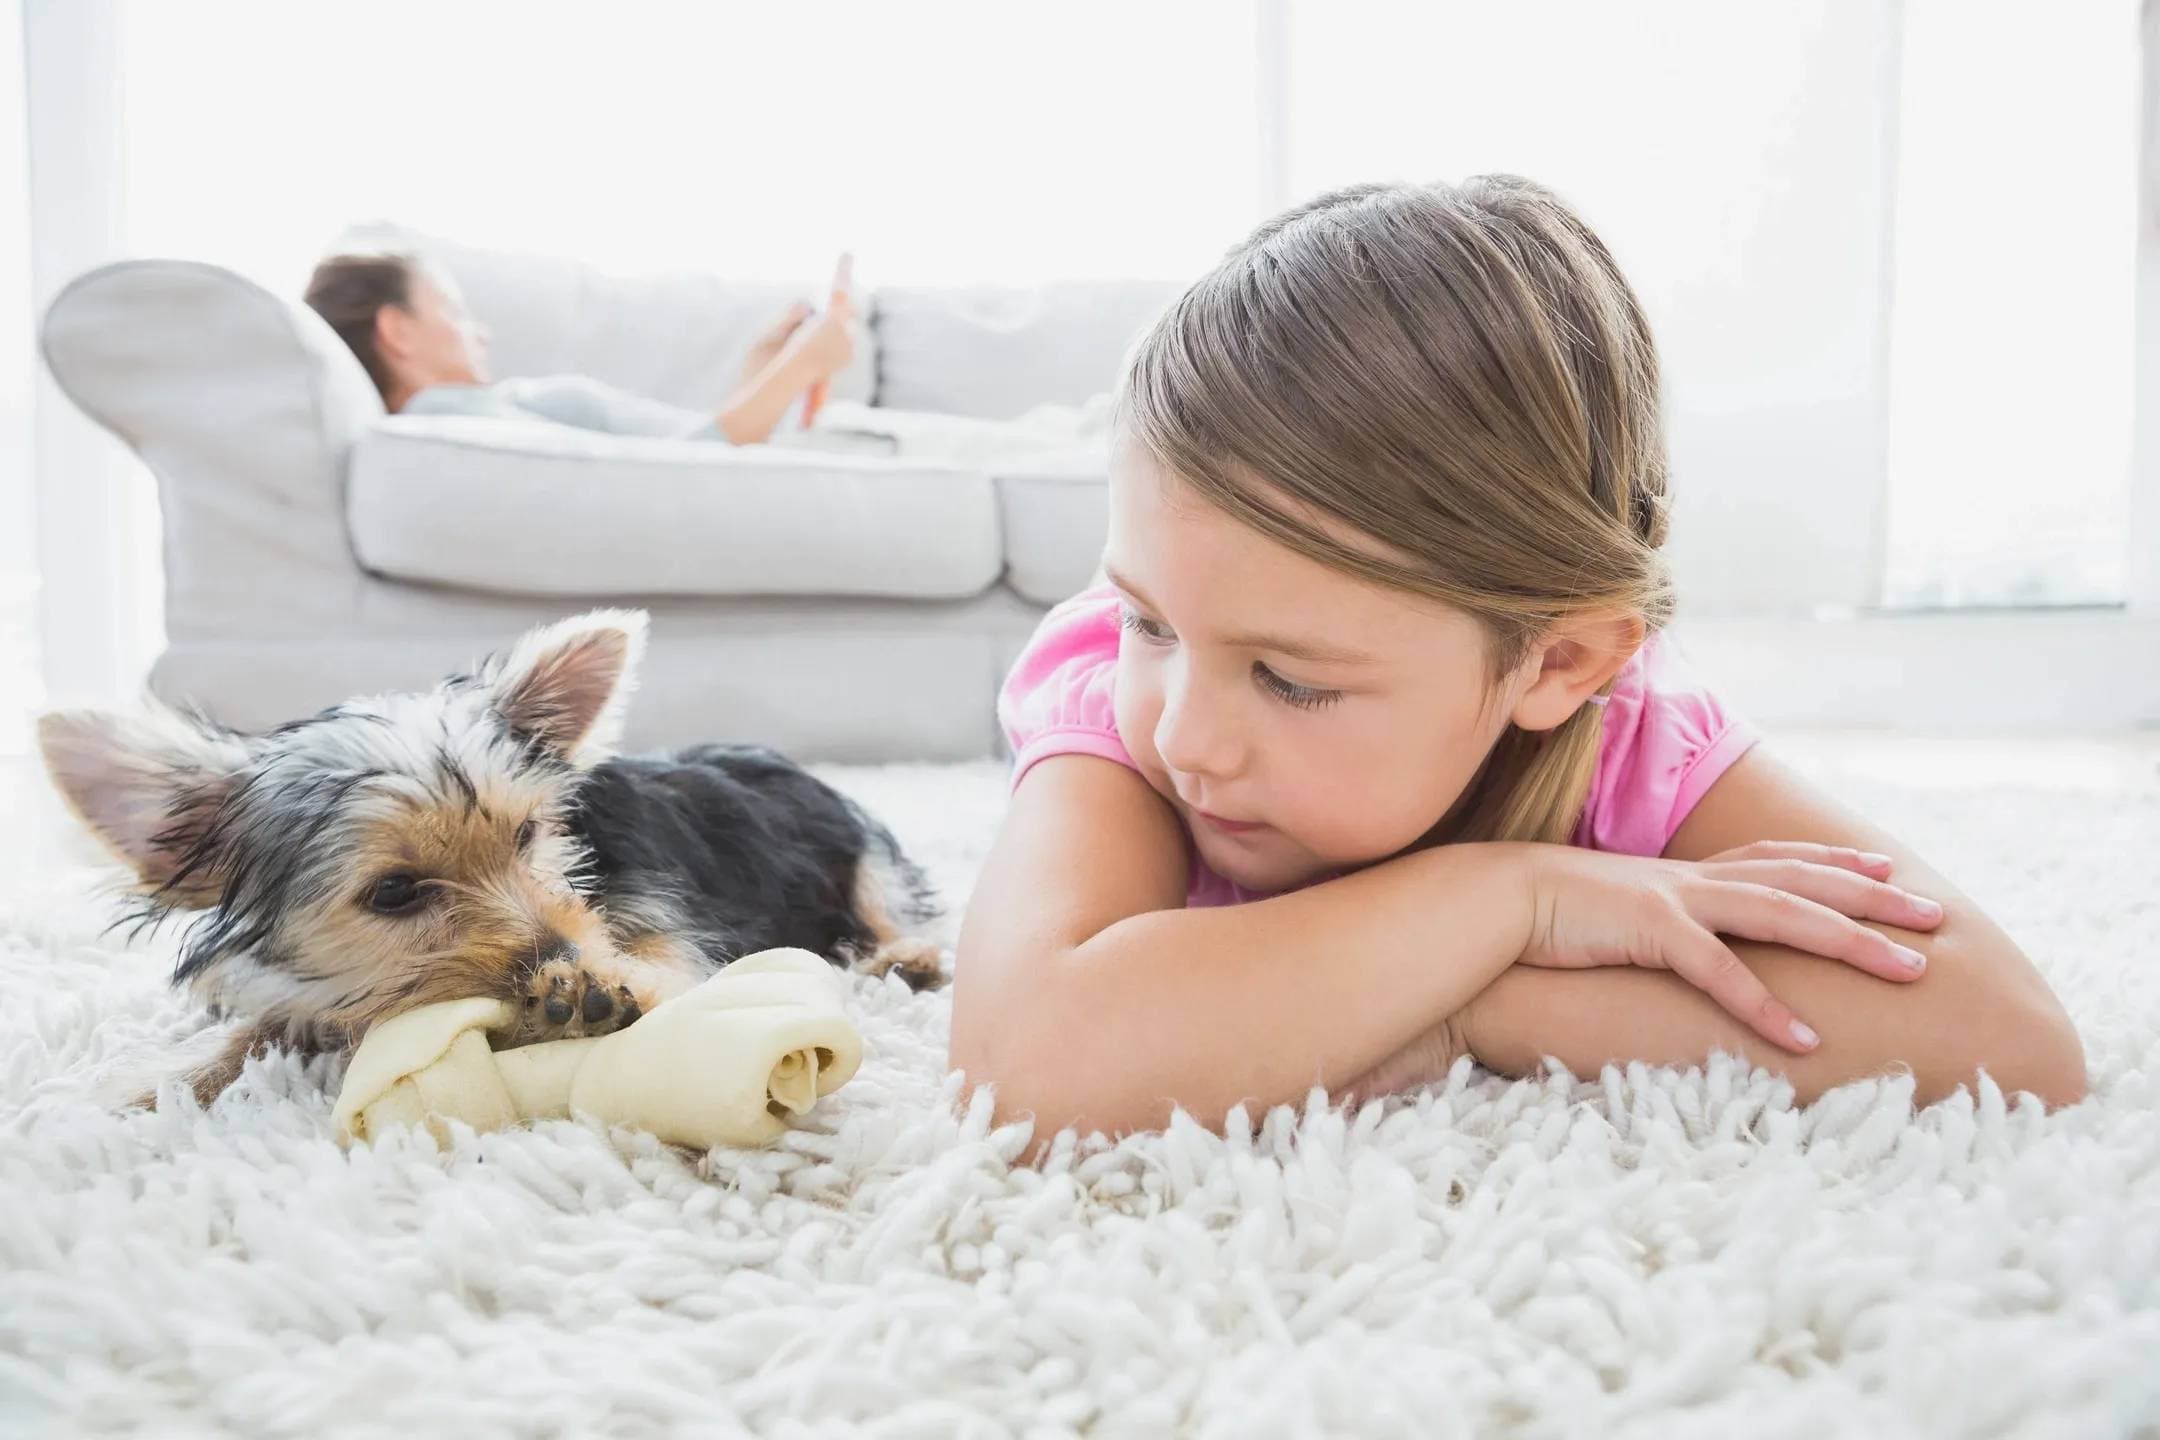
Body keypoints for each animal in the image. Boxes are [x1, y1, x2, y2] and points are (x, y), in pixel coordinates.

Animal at [38, 604, 950, 1114]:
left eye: (527, 838)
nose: (567, 952)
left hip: (863, 844)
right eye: (395, 893)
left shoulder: (659, 926)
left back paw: (907, 957)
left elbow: (661, 966)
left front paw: (599, 986)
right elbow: (267, 1022)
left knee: (888, 901)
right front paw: (160, 1081)